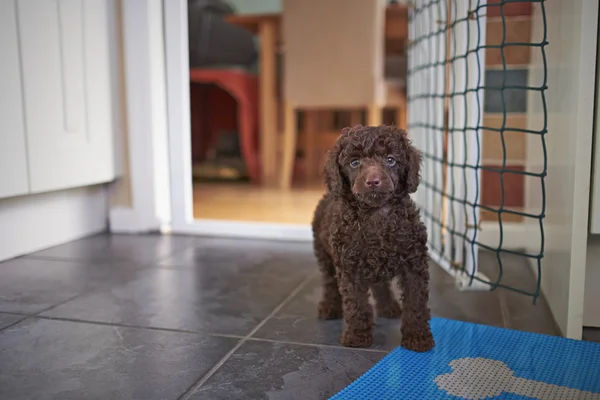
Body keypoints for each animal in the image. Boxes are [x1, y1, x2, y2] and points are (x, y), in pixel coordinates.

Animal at [312, 125, 434, 354]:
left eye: (391, 160)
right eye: (354, 162)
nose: (373, 181)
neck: (376, 214)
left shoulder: (414, 264)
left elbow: (416, 302)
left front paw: (418, 338)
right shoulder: (350, 267)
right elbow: (355, 303)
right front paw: (357, 336)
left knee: (380, 284)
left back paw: (388, 306)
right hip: (324, 252)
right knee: (329, 281)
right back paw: (329, 307)